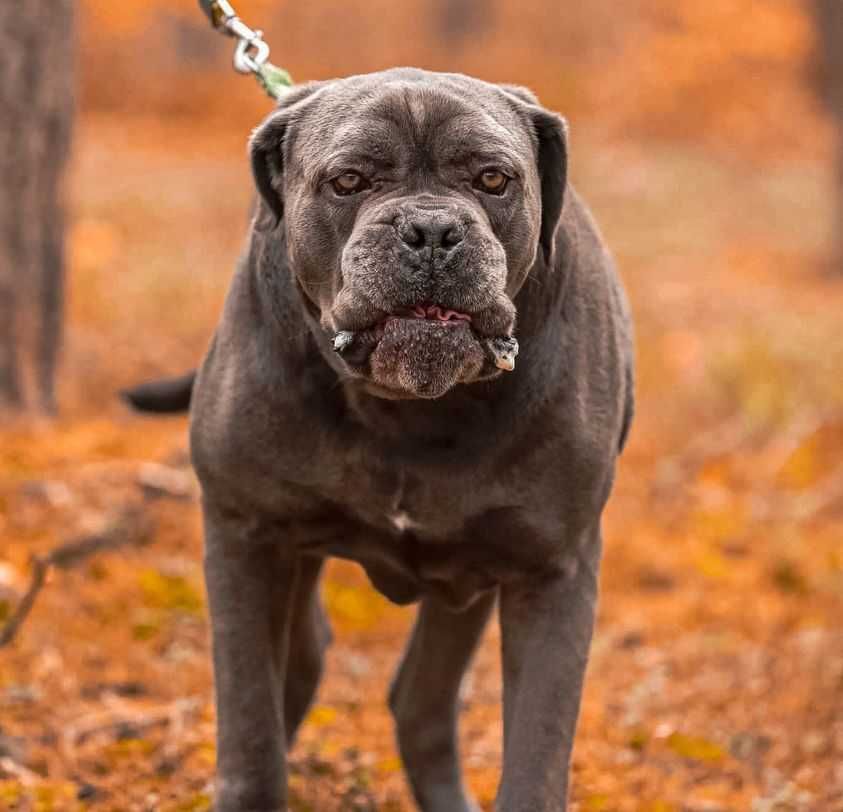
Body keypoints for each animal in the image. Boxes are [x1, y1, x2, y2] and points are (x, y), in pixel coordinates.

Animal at [125, 68, 632, 812]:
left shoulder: (551, 569)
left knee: (419, 701)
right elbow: (249, 728)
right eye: (348, 181)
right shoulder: (243, 534)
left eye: (492, 178)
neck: (409, 413)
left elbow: (536, 755)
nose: (431, 229)